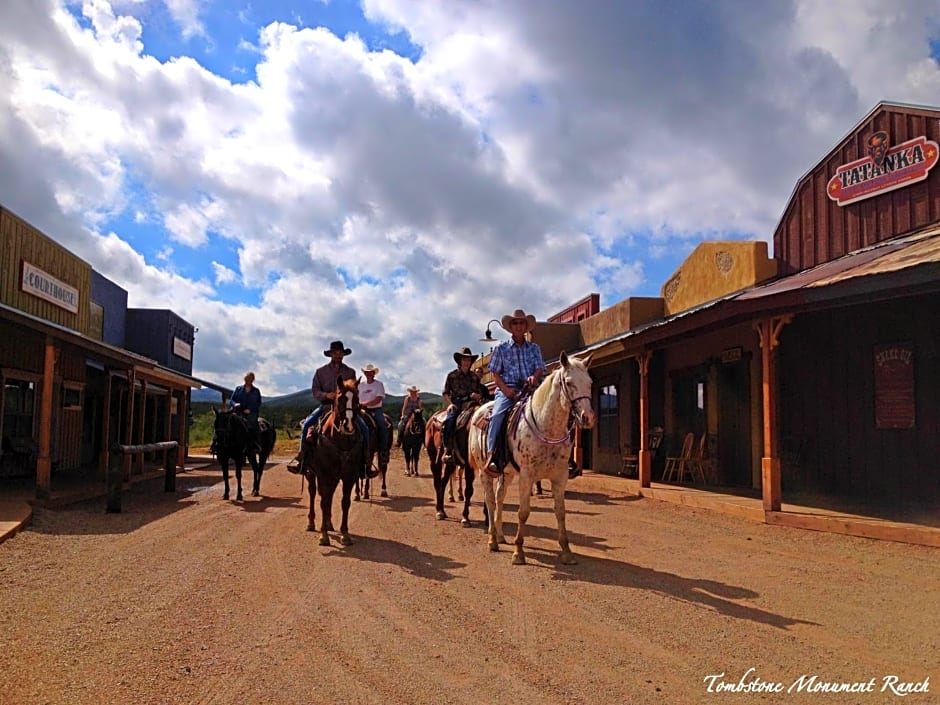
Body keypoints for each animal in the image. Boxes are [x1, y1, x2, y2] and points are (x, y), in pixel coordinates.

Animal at [468, 352, 596, 568]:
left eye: (590, 383)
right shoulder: (527, 476)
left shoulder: (560, 476)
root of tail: (479, 410)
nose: (587, 417)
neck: (546, 428)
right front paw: (518, 552)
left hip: (507, 473)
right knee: (490, 501)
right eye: (569, 382)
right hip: (486, 471)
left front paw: (566, 551)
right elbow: (523, 512)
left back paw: (500, 536)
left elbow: (560, 512)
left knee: (499, 498)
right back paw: (492, 540)